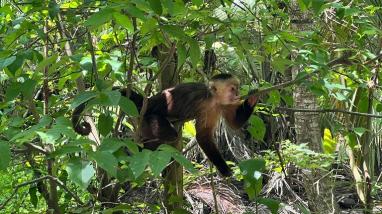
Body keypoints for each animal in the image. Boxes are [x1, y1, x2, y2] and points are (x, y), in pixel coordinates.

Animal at [72, 73, 256, 177]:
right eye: (232, 88)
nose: (238, 93)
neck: (215, 99)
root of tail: (148, 102)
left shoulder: (224, 105)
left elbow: (233, 124)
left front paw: (253, 98)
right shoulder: (205, 105)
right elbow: (202, 135)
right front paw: (224, 169)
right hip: (148, 118)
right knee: (167, 133)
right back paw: (143, 147)